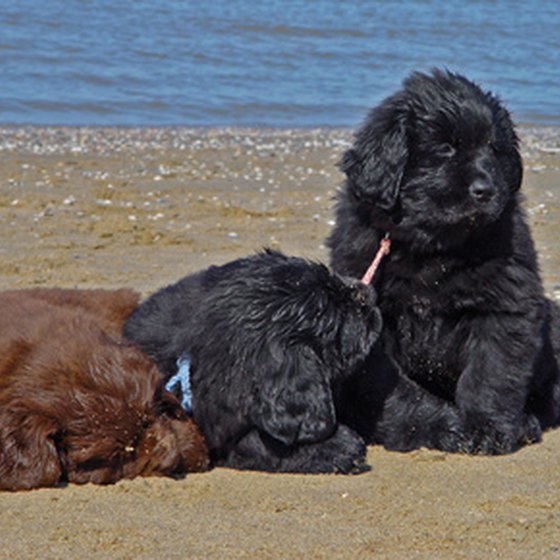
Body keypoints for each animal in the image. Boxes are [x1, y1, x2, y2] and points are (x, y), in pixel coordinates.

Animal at [328, 70, 560, 456]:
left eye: (493, 148)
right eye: (446, 148)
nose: (486, 190)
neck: (434, 247)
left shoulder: (505, 306)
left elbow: (491, 373)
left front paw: (486, 429)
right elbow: (396, 391)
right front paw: (433, 427)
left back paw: (526, 423)